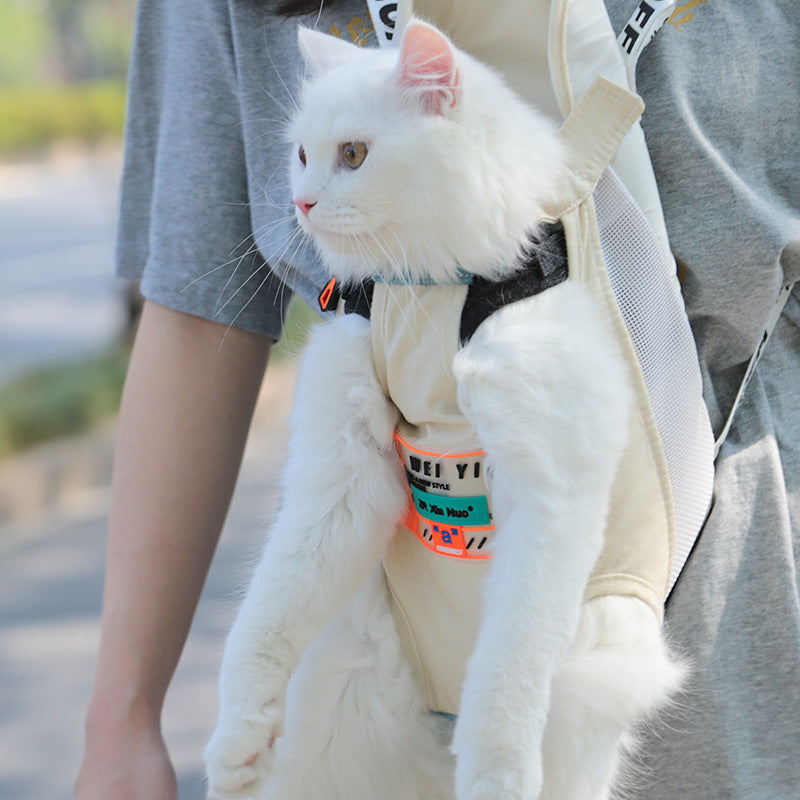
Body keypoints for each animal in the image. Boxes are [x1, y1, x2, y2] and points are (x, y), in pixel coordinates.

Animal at [203, 18, 684, 800]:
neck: (429, 295)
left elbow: (505, 679)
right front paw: (239, 738)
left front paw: (495, 776)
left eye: (354, 155)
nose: (300, 202)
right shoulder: (341, 483)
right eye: (301, 155)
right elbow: (270, 611)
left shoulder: (548, 503)